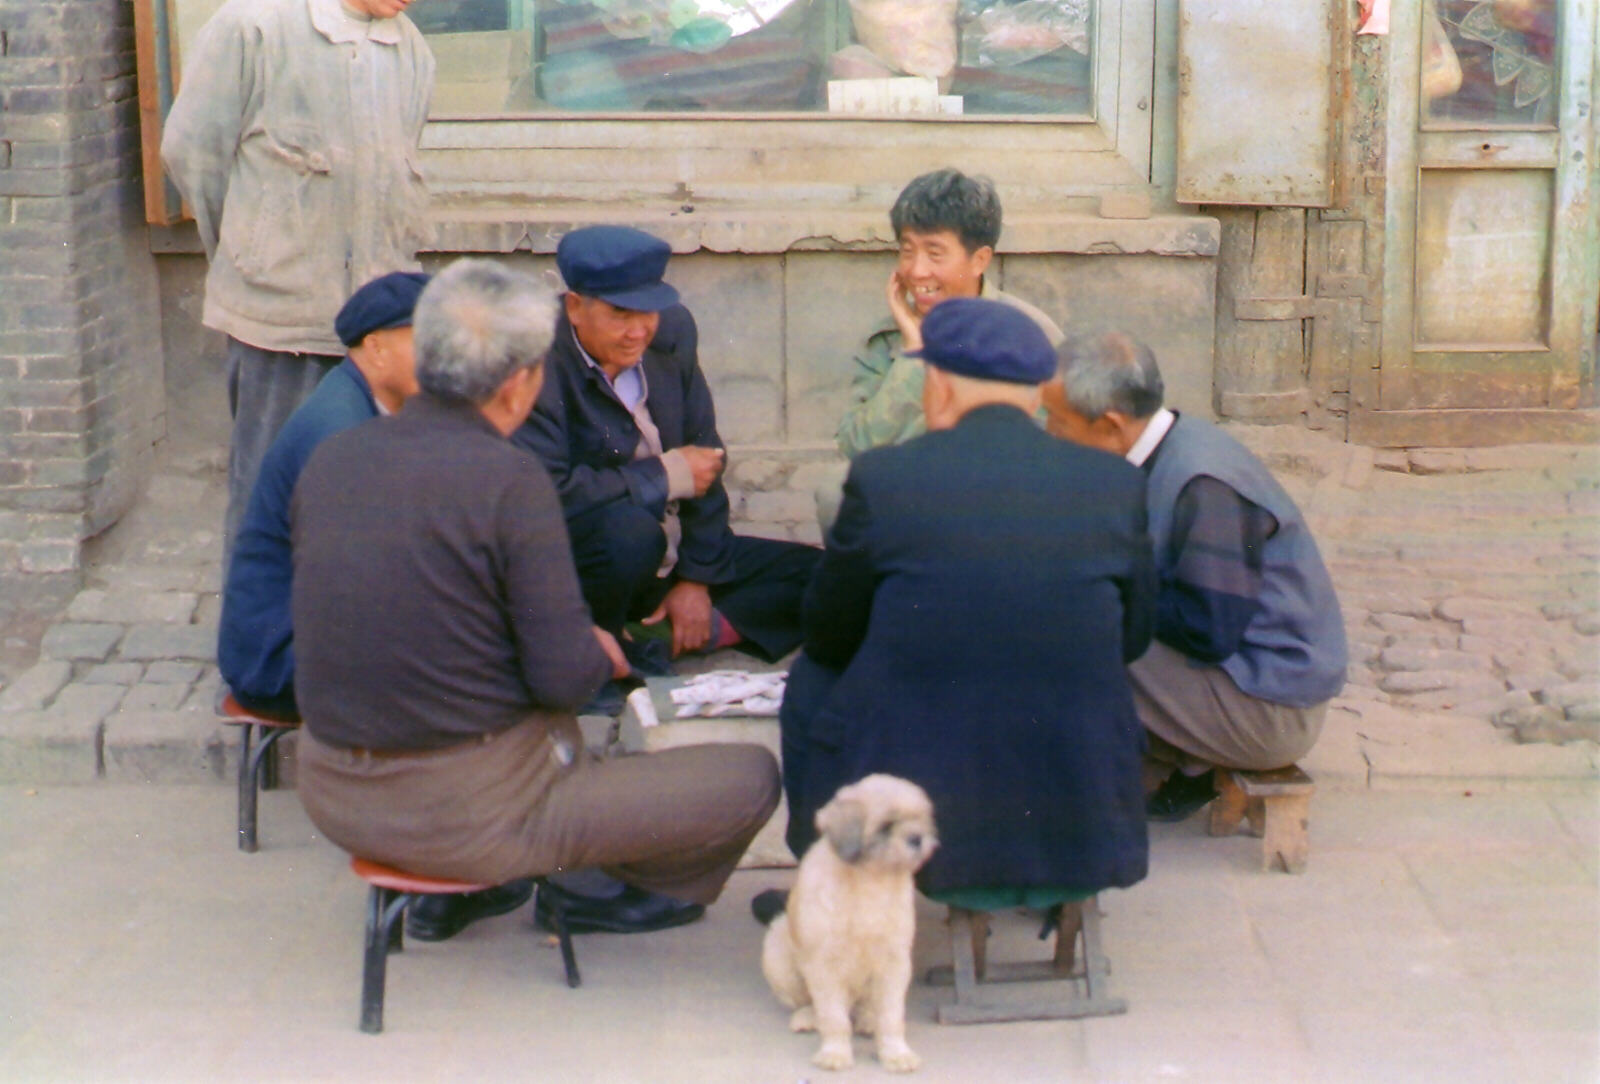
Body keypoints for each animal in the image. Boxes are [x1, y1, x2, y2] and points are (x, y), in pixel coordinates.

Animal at [761, 777, 934, 1074]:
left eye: (920, 819)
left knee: (866, 1006)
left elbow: (891, 1016)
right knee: (810, 1003)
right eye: (886, 825)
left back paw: (867, 1019)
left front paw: (897, 1054)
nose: (917, 838)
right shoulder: (825, 965)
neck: (869, 880)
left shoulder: (894, 963)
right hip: (778, 955)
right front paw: (835, 1053)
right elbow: (834, 1017)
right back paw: (807, 1018)